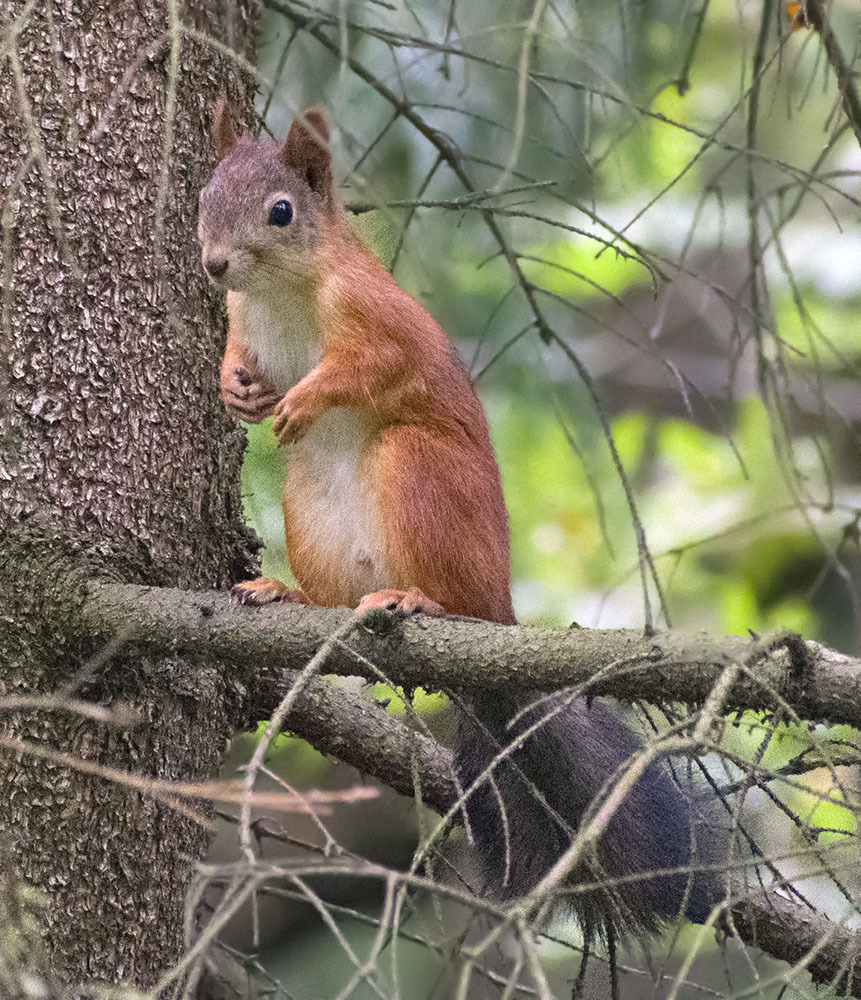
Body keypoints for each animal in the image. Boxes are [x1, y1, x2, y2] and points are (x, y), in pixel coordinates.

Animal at [198, 101, 716, 936]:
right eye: (204, 194)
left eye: (281, 212)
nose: (214, 265)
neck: (279, 290)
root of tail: (497, 618)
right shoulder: (241, 323)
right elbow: (236, 361)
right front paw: (235, 391)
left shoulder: (375, 317)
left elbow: (370, 365)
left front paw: (306, 399)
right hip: (309, 504)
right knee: (334, 595)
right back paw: (291, 593)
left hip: (413, 469)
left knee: (445, 586)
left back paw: (418, 600)